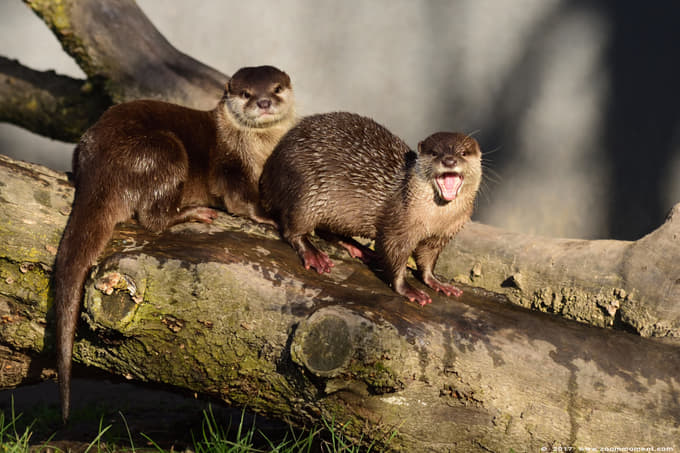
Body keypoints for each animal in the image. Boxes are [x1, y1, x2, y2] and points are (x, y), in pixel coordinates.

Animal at [54, 65, 295, 422]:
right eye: (247, 93)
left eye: (277, 88)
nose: (264, 102)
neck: (259, 151)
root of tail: (99, 167)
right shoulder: (233, 168)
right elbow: (243, 202)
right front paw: (271, 219)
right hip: (163, 152)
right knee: (154, 218)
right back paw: (193, 213)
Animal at [259, 112, 481, 305]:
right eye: (435, 153)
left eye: (463, 153)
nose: (449, 160)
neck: (434, 220)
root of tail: (270, 166)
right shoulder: (398, 227)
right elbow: (392, 255)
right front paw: (409, 290)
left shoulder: (441, 236)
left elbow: (427, 261)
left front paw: (438, 283)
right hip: (306, 190)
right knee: (292, 228)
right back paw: (315, 255)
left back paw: (357, 247)